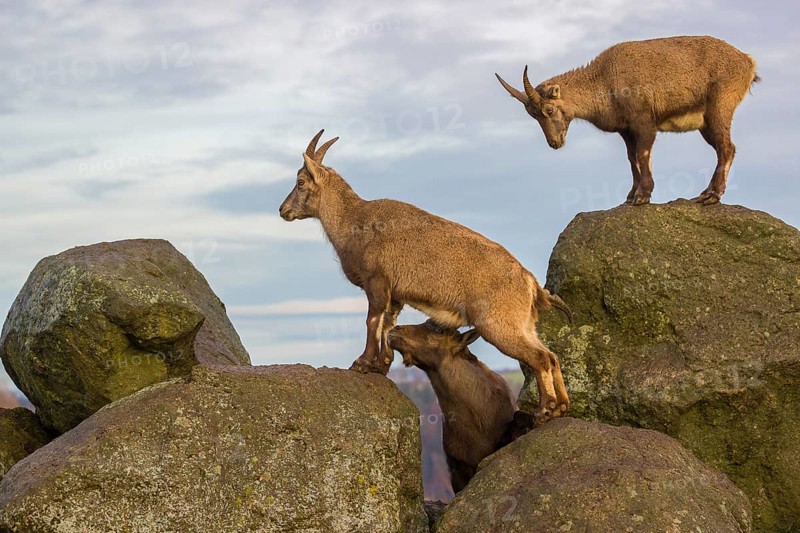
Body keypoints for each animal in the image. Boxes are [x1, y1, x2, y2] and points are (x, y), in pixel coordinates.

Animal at [279, 130, 569, 424]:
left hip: (498, 324)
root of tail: (530, 283)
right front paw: (381, 366)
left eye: (300, 182)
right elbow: (388, 324)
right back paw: (561, 407)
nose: (282, 210)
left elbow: (373, 321)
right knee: (552, 356)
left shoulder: (377, 280)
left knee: (540, 358)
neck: (353, 221)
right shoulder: (395, 294)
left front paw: (361, 363)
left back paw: (545, 411)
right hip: (524, 325)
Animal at [496, 36, 759, 206]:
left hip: (719, 108)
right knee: (723, 148)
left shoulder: (644, 122)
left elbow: (643, 154)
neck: (604, 80)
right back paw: (706, 192)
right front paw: (631, 195)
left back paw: (712, 196)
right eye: (532, 115)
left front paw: (642, 197)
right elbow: (632, 159)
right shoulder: (626, 130)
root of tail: (747, 62)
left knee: (727, 147)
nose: (554, 143)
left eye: (549, 110)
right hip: (706, 123)